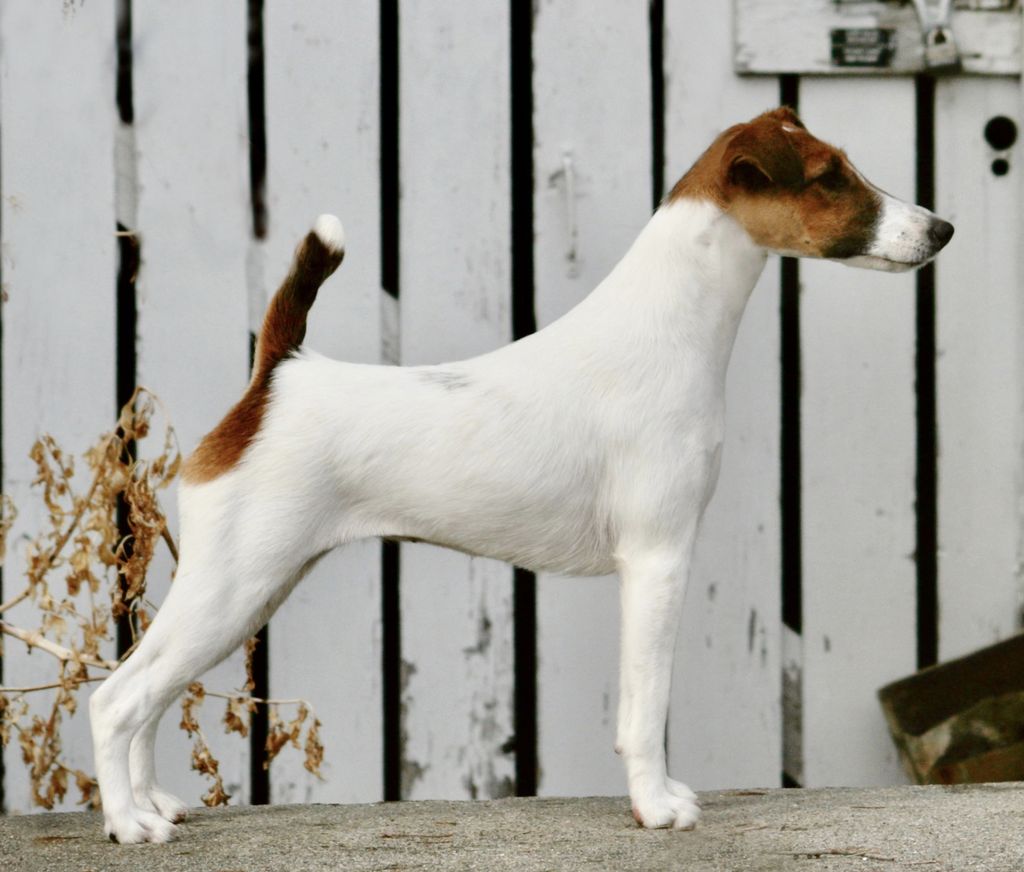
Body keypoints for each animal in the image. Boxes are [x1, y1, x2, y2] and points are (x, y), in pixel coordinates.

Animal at [88, 105, 950, 843]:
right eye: (829, 177)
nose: (941, 228)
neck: (665, 330)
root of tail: (276, 377)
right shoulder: (658, 560)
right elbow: (646, 709)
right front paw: (656, 806)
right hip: (235, 586)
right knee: (116, 700)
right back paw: (130, 825)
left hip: (249, 588)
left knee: (149, 694)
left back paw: (156, 803)